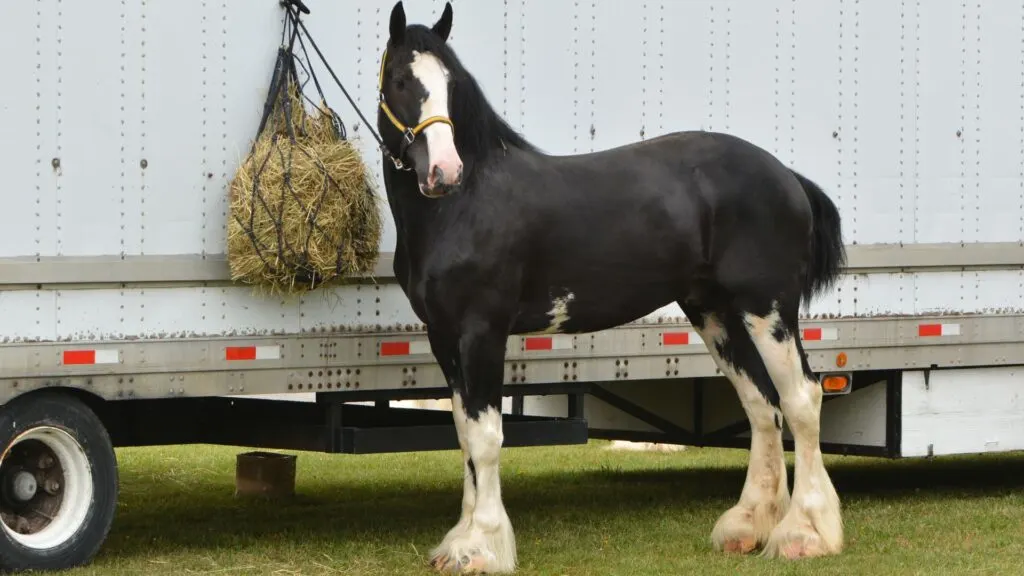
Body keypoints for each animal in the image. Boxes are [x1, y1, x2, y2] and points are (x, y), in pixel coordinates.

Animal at [376, 3, 847, 569]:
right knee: (761, 404)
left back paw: (805, 534)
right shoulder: (444, 337)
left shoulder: (481, 333)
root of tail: (787, 176)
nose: (444, 171)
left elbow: (486, 437)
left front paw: (483, 546)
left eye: (450, 83)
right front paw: (461, 542)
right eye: (401, 81)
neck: (464, 205)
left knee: (801, 399)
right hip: (715, 313)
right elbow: (465, 435)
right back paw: (748, 526)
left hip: (768, 309)